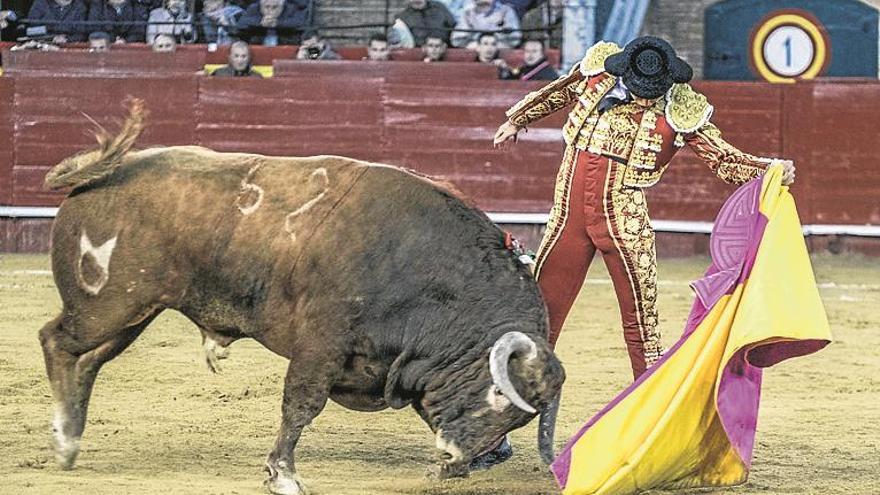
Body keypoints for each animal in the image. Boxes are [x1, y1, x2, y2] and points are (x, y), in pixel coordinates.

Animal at [39, 101, 564, 495]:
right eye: (498, 392)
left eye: (516, 421)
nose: (454, 456)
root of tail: (102, 173)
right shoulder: (322, 343)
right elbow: (301, 405)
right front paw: (283, 476)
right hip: (106, 305)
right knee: (57, 341)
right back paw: (64, 440)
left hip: (133, 313)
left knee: (88, 362)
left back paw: (72, 436)